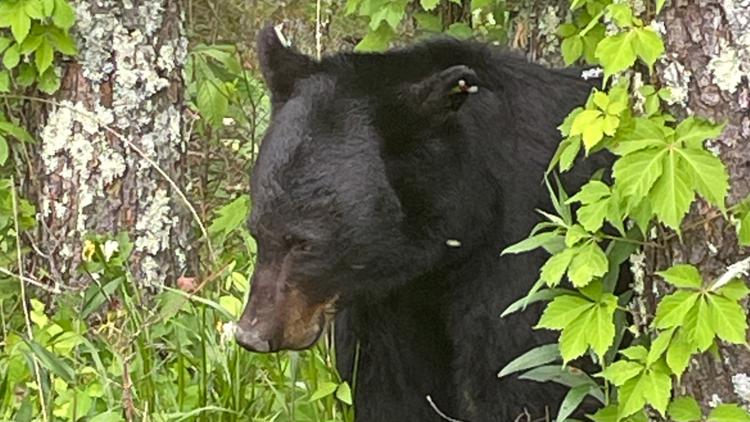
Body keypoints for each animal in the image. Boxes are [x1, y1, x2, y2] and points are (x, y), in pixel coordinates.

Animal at [235, 25, 611, 421]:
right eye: (256, 231)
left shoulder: (527, 252)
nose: (252, 335)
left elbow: (527, 377)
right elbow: (390, 388)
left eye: (306, 243)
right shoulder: (388, 300)